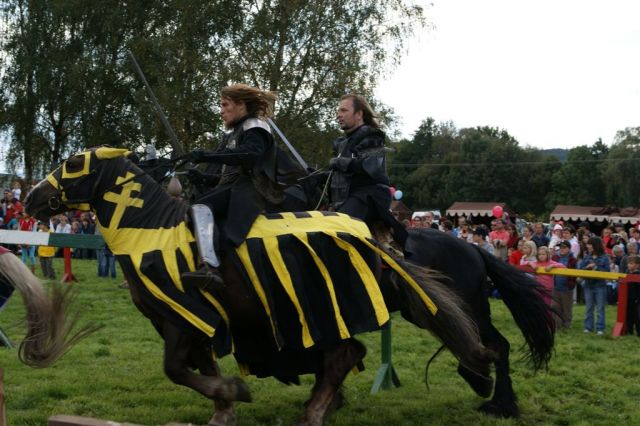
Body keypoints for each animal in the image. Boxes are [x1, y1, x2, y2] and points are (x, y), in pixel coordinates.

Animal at [25, 147, 496, 426]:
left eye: (73, 164)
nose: (31, 199)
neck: (151, 231)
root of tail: (370, 239)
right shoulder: (189, 322)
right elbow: (202, 366)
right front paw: (223, 410)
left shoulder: (182, 317)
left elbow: (176, 369)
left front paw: (233, 392)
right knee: (346, 355)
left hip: (327, 310)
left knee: (343, 356)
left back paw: (314, 411)